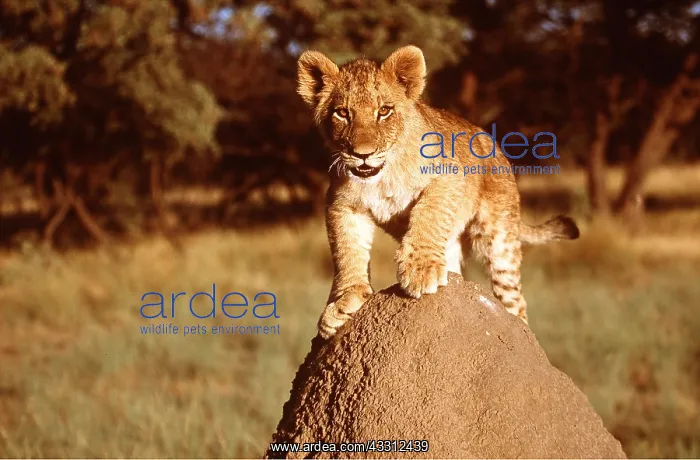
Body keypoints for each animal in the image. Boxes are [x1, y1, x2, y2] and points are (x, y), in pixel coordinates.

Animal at [297, 45, 580, 339]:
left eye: (384, 111)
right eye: (342, 113)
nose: (362, 154)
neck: (381, 177)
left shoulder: (449, 174)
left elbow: (428, 213)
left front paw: (420, 269)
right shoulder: (342, 204)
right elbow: (346, 252)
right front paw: (344, 301)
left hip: (500, 239)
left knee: (515, 300)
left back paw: (518, 330)